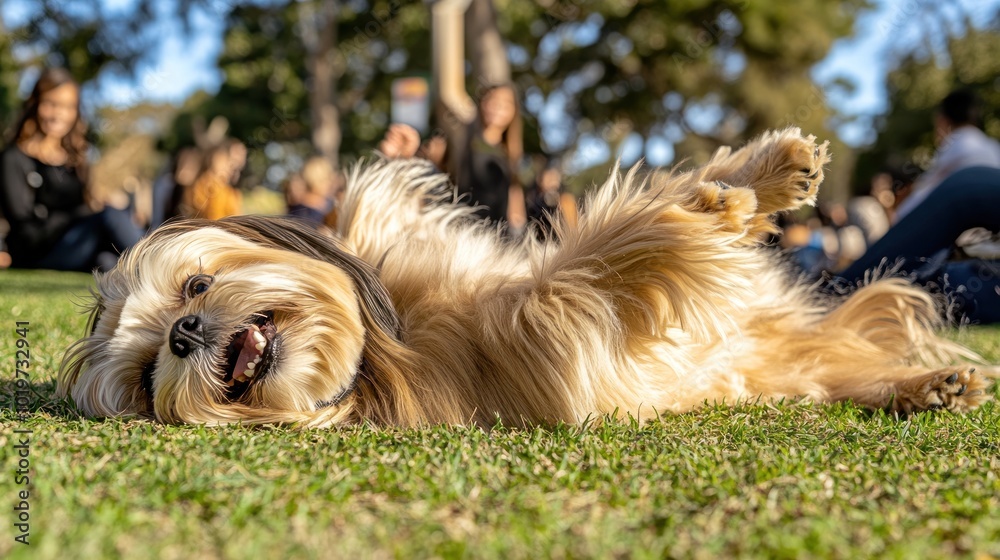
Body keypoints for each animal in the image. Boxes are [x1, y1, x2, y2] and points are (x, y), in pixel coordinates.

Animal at [60, 129, 992, 426]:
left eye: (191, 290)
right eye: (146, 377)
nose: (184, 336)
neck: (385, 353)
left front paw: (753, 178)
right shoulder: (549, 320)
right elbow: (618, 238)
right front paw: (716, 209)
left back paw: (926, 382)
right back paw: (923, 385)